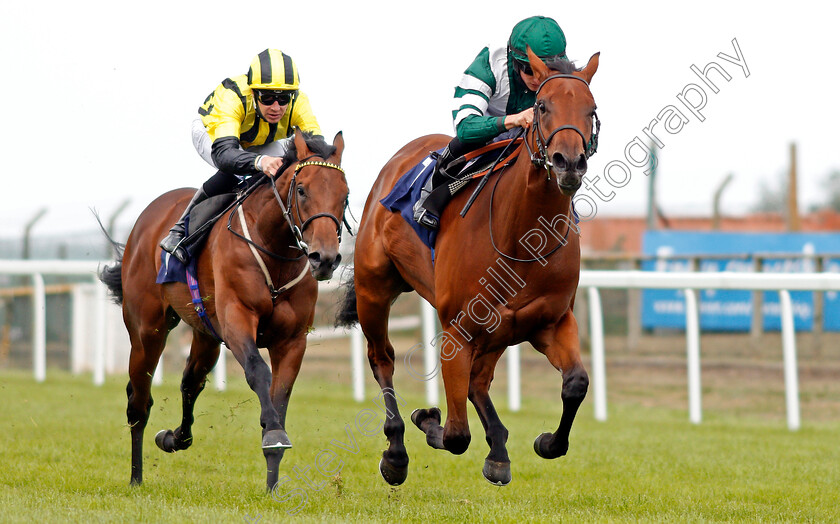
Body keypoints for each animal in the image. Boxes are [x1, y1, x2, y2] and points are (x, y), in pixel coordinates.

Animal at [100, 129, 350, 490]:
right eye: (302, 190)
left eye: (344, 196)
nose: (325, 258)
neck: (274, 252)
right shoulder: (237, 321)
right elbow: (259, 371)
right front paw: (273, 435)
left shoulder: (292, 340)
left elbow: (280, 395)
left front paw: (272, 481)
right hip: (147, 330)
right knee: (139, 401)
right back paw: (135, 478)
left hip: (205, 334)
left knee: (190, 383)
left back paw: (174, 438)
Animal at [334, 50, 596, 488]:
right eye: (542, 106)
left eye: (591, 110)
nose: (569, 163)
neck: (520, 237)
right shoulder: (457, 331)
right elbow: (456, 435)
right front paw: (426, 418)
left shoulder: (552, 321)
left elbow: (576, 384)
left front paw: (545, 442)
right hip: (375, 290)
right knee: (382, 359)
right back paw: (396, 452)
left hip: (498, 332)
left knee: (479, 382)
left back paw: (499, 450)